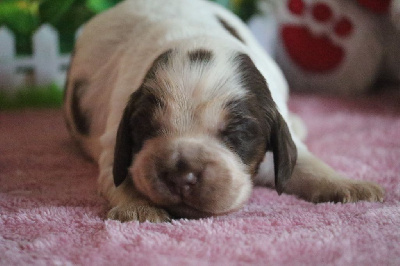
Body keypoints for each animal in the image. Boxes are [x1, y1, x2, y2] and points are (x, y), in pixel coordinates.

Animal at [63, 0, 384, 222]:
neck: (196, 36)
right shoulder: (113, 139)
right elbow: (122, 174)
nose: (181, 176)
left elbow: (306, 163)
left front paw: (351, 186)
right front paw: (139, 208)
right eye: (146, 128)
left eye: (237, 134)